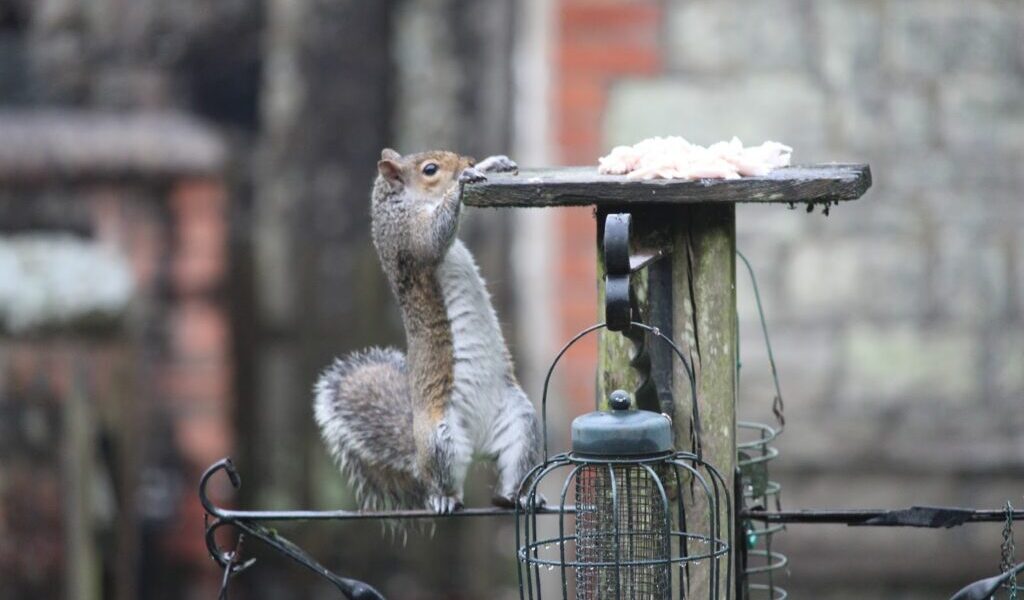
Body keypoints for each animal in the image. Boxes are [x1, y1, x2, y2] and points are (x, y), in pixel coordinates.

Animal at [314, 148, 542, 515]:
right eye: (430, 170)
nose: (467, 163)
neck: (399, 204)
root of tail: (478, 446)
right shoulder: (408, 239)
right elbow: (433, 239)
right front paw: (462, 182)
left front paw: (491, 164)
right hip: (440, 440)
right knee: (441, 480)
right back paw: (444, 499)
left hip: (521, 424)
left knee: (513, 468)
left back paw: (516, 495)